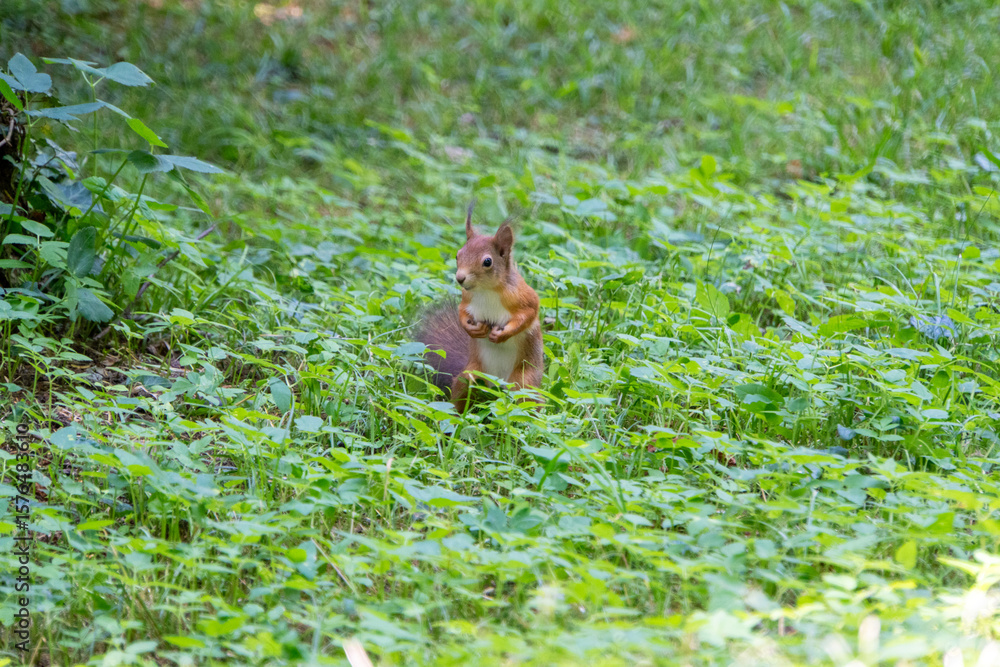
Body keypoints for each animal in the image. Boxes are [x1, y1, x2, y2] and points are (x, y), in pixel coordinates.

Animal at [416, 203, 544, 412]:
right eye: (458, 254)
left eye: (487, 262)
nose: (460, 278)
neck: (487, 290)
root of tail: (496, 386)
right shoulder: (467, 299)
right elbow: (462, 312)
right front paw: (471, 329)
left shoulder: (525, 297)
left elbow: (528, 315)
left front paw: (502, 334)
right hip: (469, 375)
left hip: (524, 384)